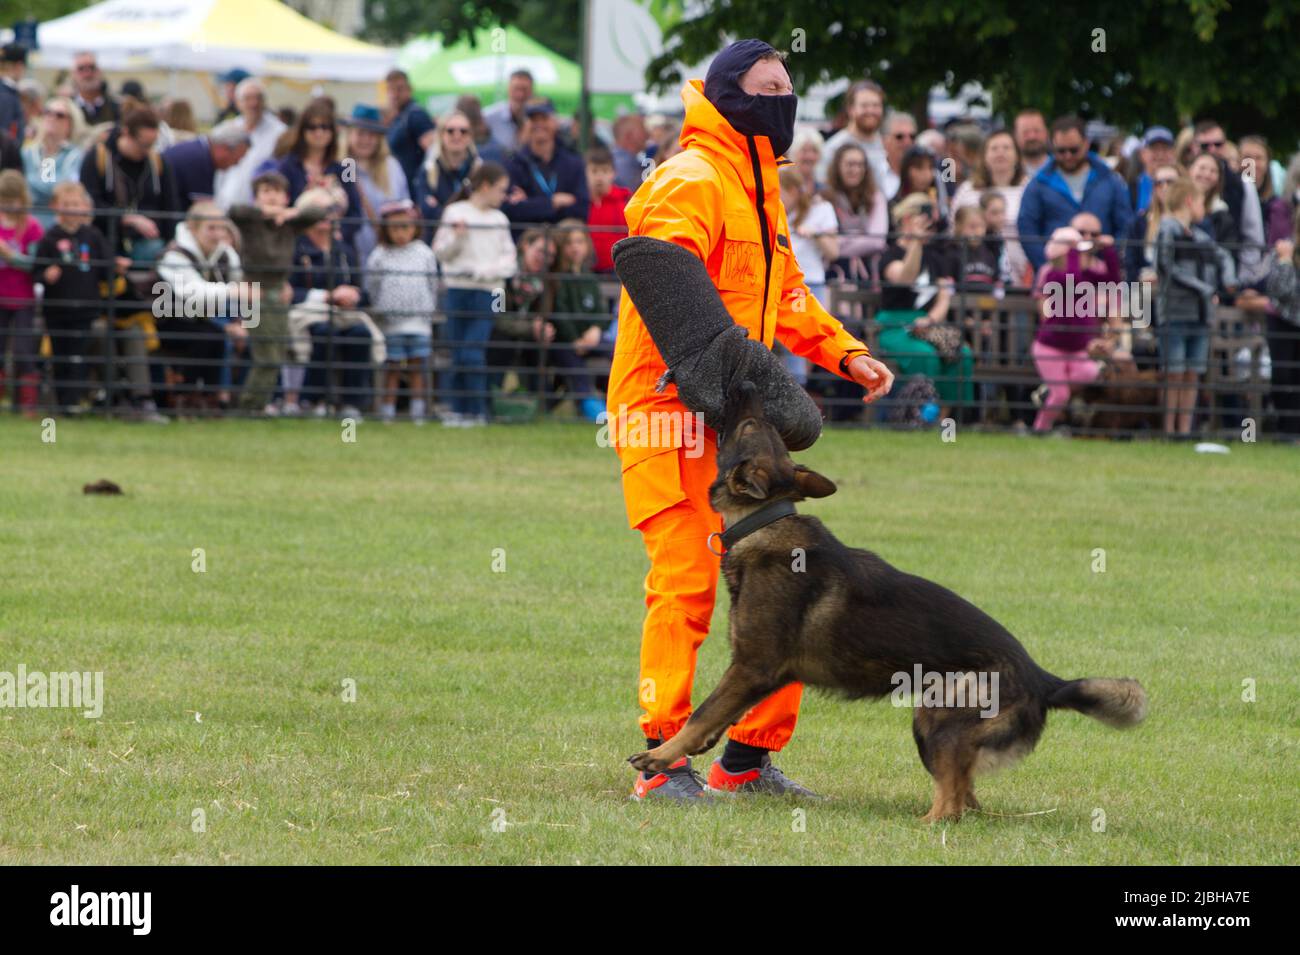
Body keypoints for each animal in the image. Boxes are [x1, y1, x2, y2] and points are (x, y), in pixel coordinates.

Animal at [629, 382, 1149, 821]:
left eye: (749, 425)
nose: (749, 384)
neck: (763, 521)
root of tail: (1043, 678)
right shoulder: (758, 676)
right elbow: (715, 719)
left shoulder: (751, 669)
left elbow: (701, 713)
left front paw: (658, 755)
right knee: (967, 797)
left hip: (936, 716)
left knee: (953, 802)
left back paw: (925, 825)